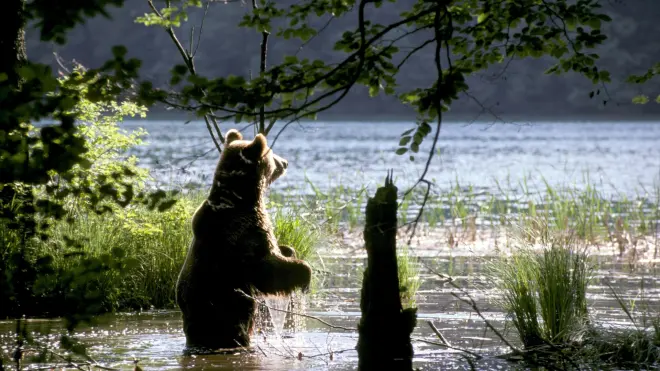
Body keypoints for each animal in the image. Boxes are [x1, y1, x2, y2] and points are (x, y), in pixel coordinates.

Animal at [173, 129, 312, 354]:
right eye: (271, 153)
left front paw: (289, 249)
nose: (285, 162)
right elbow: (267, 269)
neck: (239, 198)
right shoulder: (243, 235)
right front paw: (304, 273)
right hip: (224, 314)